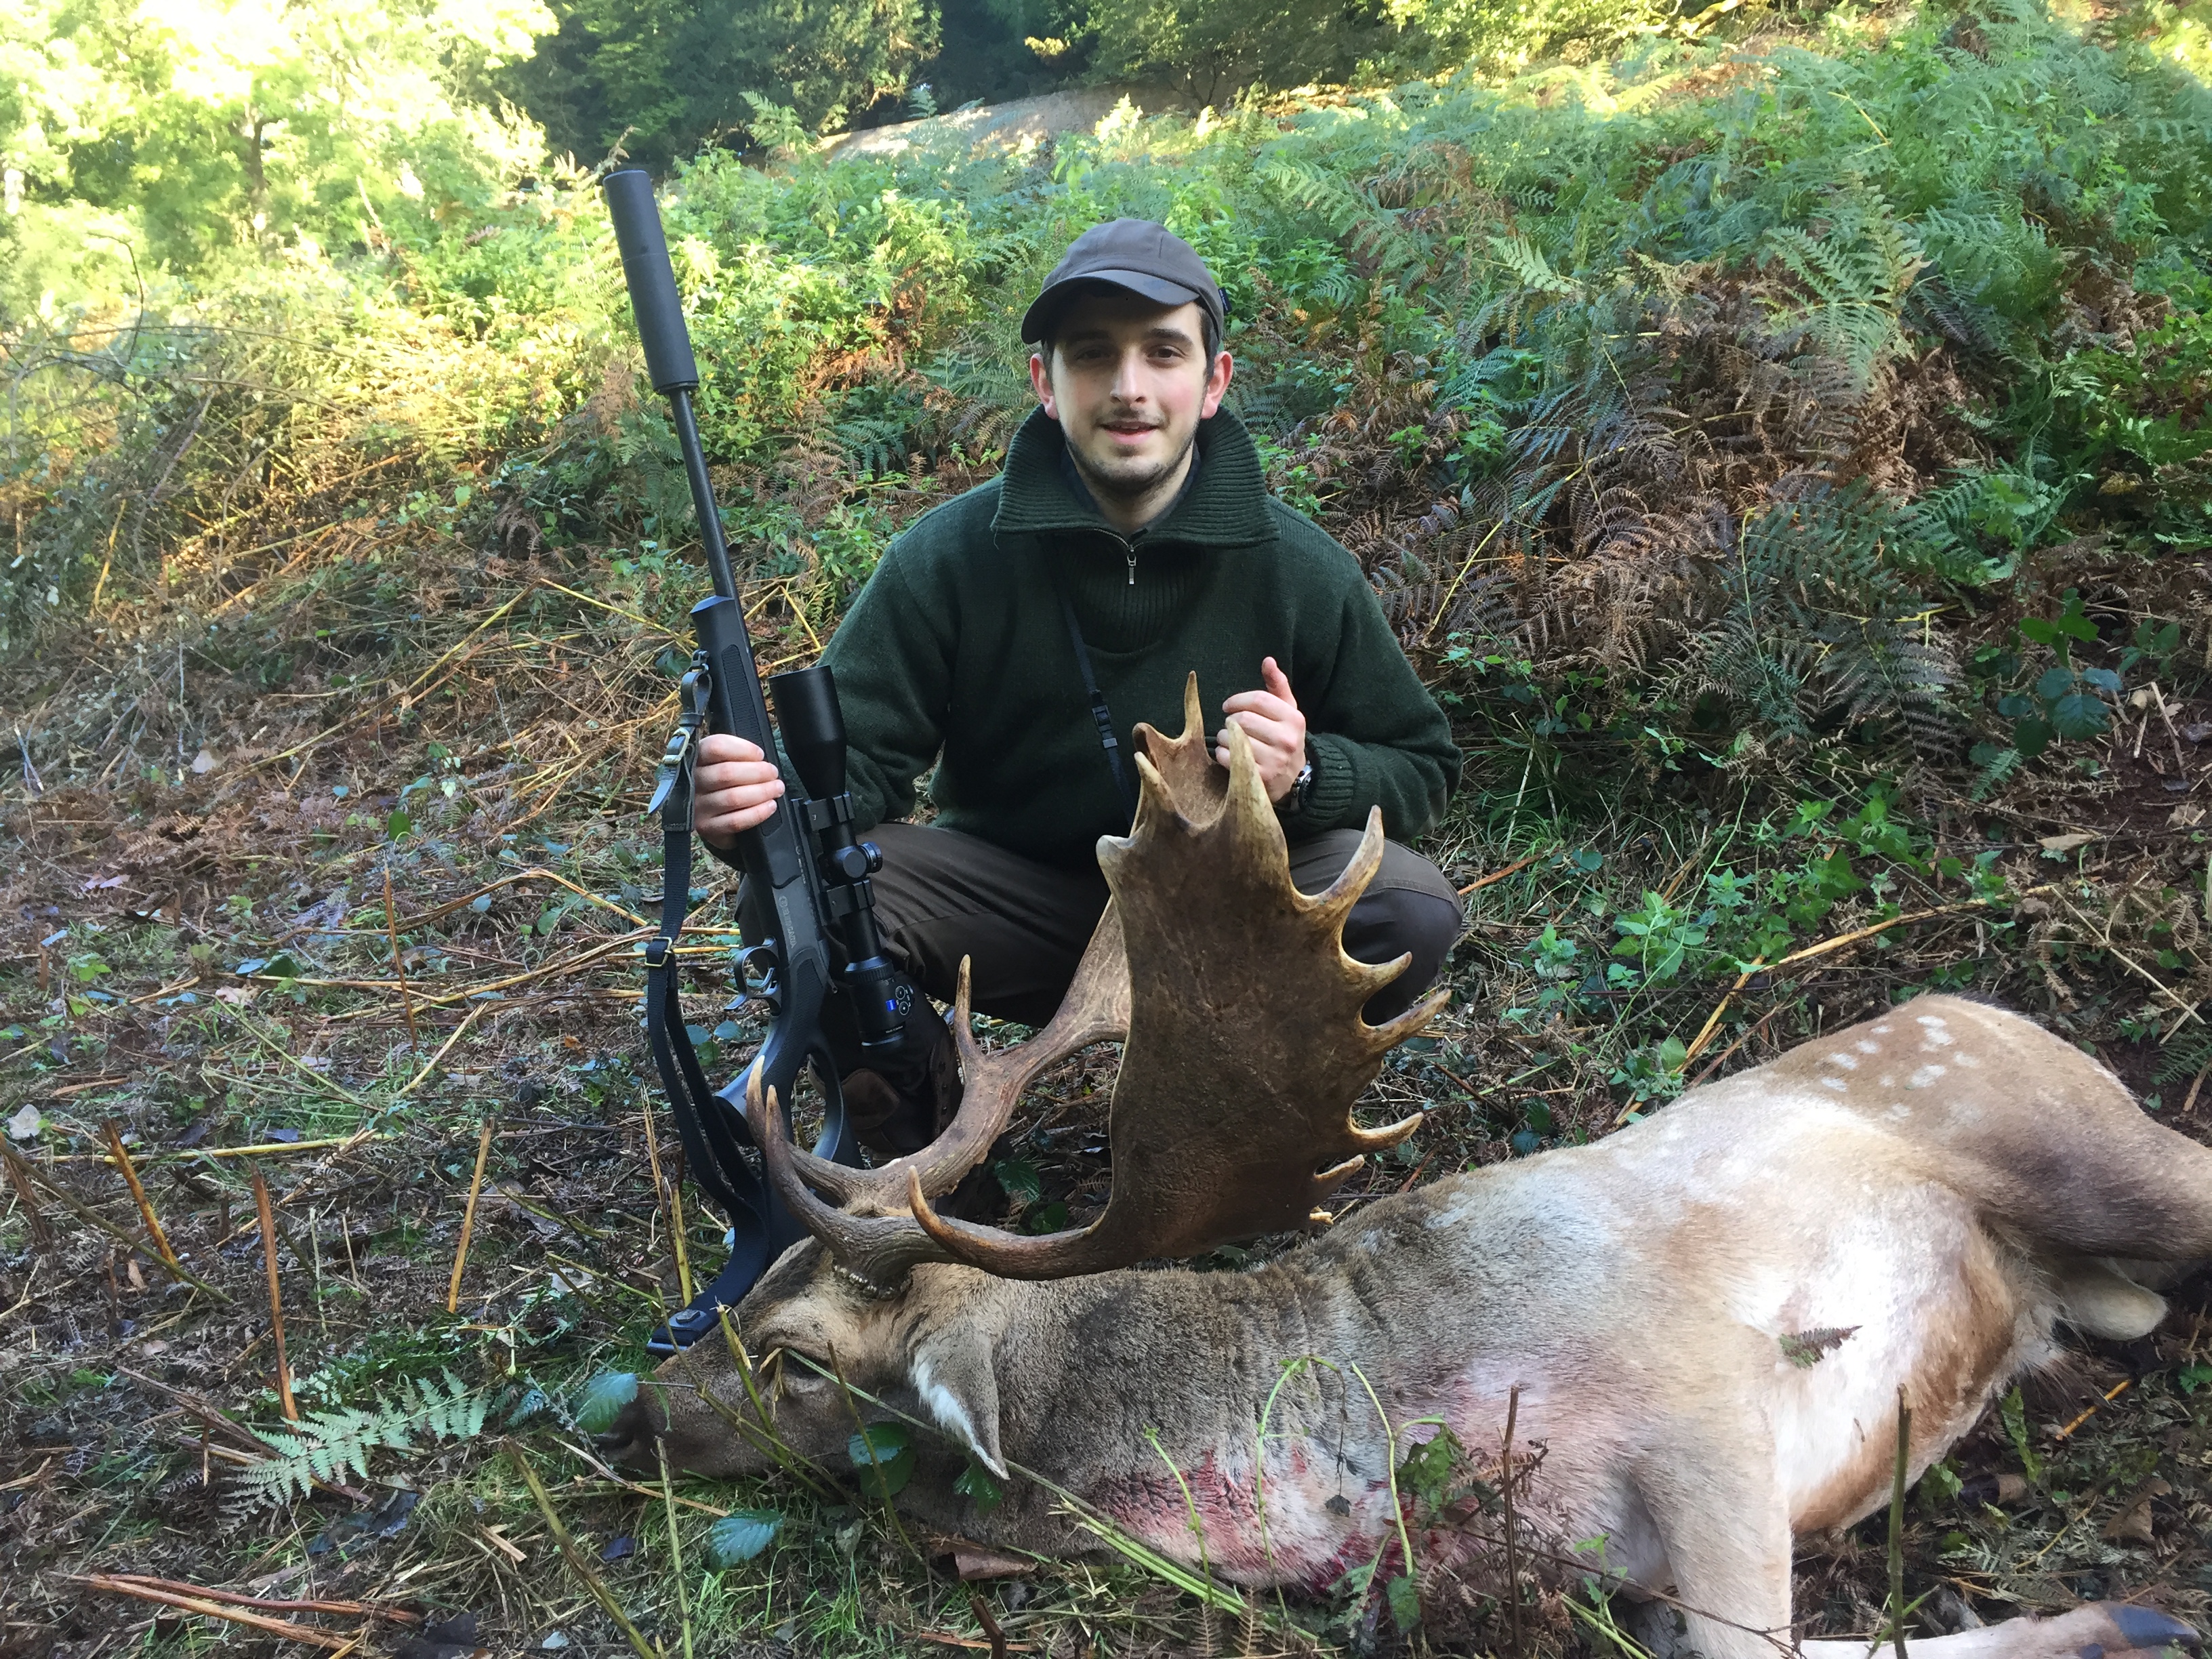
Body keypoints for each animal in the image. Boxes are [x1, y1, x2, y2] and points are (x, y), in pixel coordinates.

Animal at [605, 678, 2212, 1659]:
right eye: (749, 1281)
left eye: (796, 1357)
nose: (619, 1410)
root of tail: (2000, 1010)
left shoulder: (1703, 1395)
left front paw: (2133, 1618)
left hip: (2085, 1141)